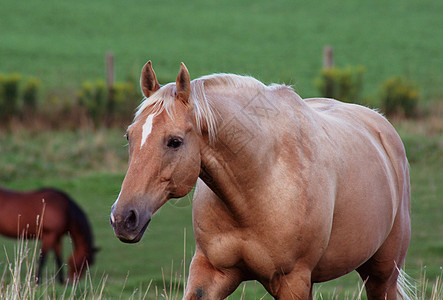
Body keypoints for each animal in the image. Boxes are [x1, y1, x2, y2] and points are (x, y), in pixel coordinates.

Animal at [110, 61, 412, 300]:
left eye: (174, 141)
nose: (123, 218)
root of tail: (381, 126)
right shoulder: (209, 272)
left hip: (383, 275)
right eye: (129, 136)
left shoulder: (292, 281)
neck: (257, 183)